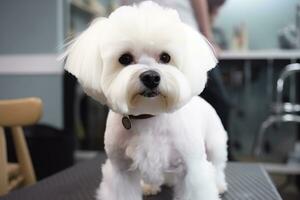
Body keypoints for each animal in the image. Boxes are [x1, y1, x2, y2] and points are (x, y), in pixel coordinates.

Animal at [63, 1, 227, 200]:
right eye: (125, 58)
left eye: (165, 57)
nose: (151, 77)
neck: (149, 115)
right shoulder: (121, 171)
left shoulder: (192, 168)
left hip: (214, 143)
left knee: (217, 165)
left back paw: (219, 184)